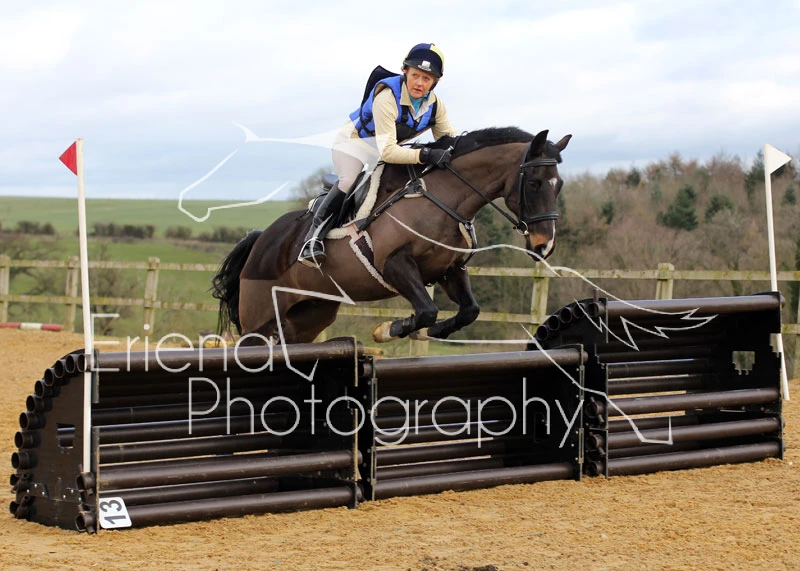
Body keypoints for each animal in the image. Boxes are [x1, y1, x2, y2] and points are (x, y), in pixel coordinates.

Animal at [212, 127, 571, 345]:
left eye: (560, 185)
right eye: (535, 183)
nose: (545, 245)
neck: (442, 196)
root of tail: (262, 239)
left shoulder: (450, 270)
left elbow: (469, 310)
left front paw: (435, 331)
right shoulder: (395, 264)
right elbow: (426, 310)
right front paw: (388, 329)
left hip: (311, 314)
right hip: (259, 319)